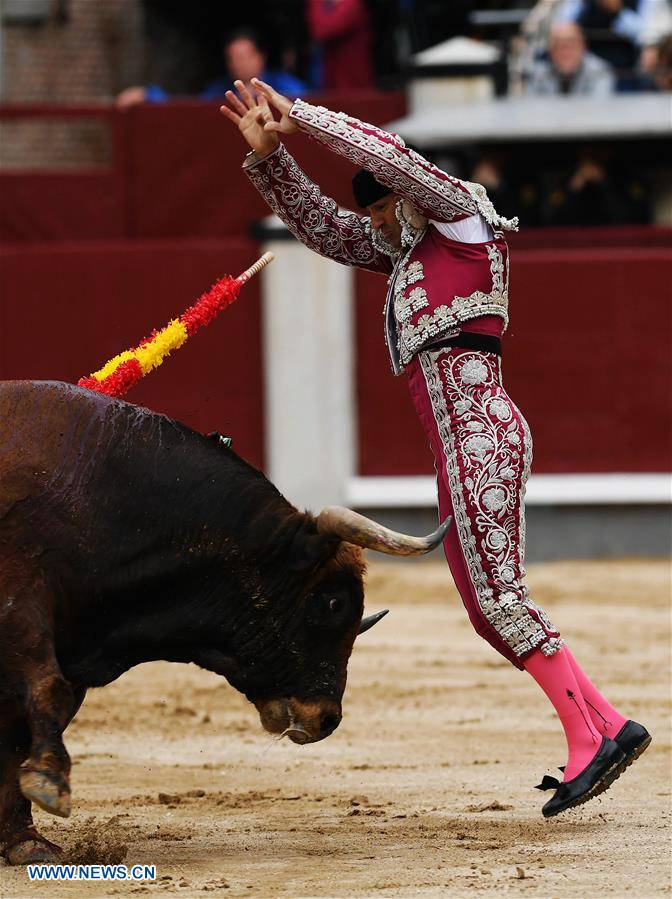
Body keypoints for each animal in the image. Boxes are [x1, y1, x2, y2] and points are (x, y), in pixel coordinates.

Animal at [1, 380, 452, 864]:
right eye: (333, 602)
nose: (327, 719)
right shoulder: (22, 605)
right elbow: (47, 692)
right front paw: (49, 784)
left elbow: (23, 728)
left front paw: (24, 840)